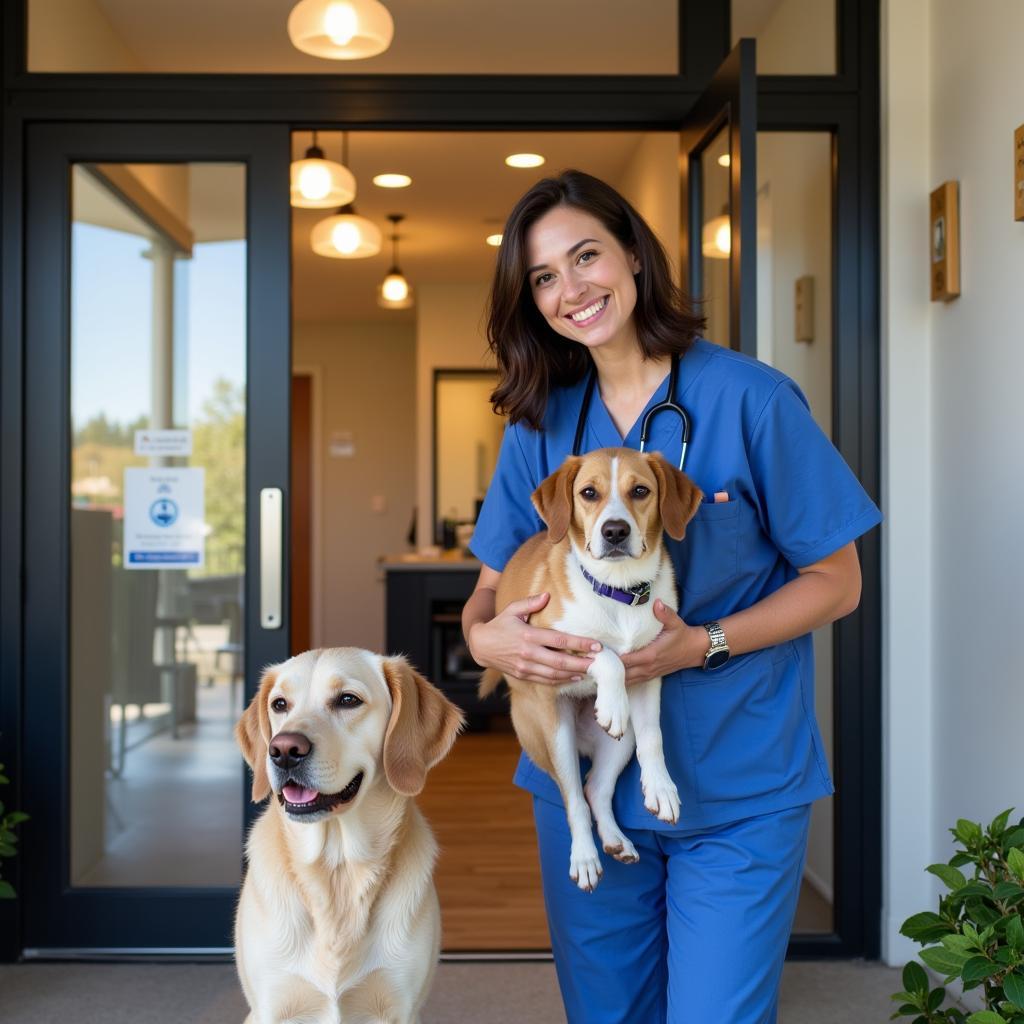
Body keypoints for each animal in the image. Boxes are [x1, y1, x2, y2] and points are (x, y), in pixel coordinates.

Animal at [234, 651, 462, 1019]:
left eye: (347, 700)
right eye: (280, 704)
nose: (283, 750)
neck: (337, 868)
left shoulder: (401, 1007)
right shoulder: (271, 1006)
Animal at [479, 446, 704, 888]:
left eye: (640, 490)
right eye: (588, 493)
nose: (615, 531)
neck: (619, 591)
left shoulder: (650, 676)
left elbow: (654, 737)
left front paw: (661, 787)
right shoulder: (548, 643)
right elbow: (606, 655)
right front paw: (611, 695)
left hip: (620, 742)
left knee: (595, 789)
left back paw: (616, 839)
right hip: (554, 737)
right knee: (573, 800)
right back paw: (584, 856)